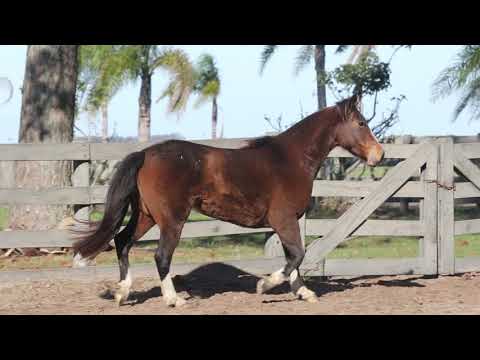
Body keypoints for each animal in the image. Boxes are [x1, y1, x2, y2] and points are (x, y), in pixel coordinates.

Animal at [73, 94, 384, 308]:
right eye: (361, 123)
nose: (379, 155)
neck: (290, 160)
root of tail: (146, 154)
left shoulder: (288, 221)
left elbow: (294, 256)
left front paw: (304, 292)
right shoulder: (283, 219)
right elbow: (297, 255)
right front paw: (264, 285)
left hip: (147, 216)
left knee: (122, 241)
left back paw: (122, 293)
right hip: (172, 219)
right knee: (161, 256)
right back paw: (174, 300)